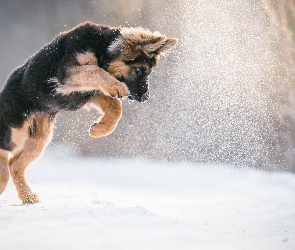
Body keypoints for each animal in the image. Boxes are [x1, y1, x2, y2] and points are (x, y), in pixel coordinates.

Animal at [0, 20, 177, 202]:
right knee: (5, 152)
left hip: (40, 139)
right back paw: (3, 179)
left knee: (15, 164)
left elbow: (116, 106)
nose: (145, 97)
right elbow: (94, 69)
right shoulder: (69, 72)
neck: (103, 48)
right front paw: (117, 86)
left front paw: (100, 129)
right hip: (17, 131)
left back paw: (27, 196)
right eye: (140, 70)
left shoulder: (90, 92)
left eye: (148, 72)